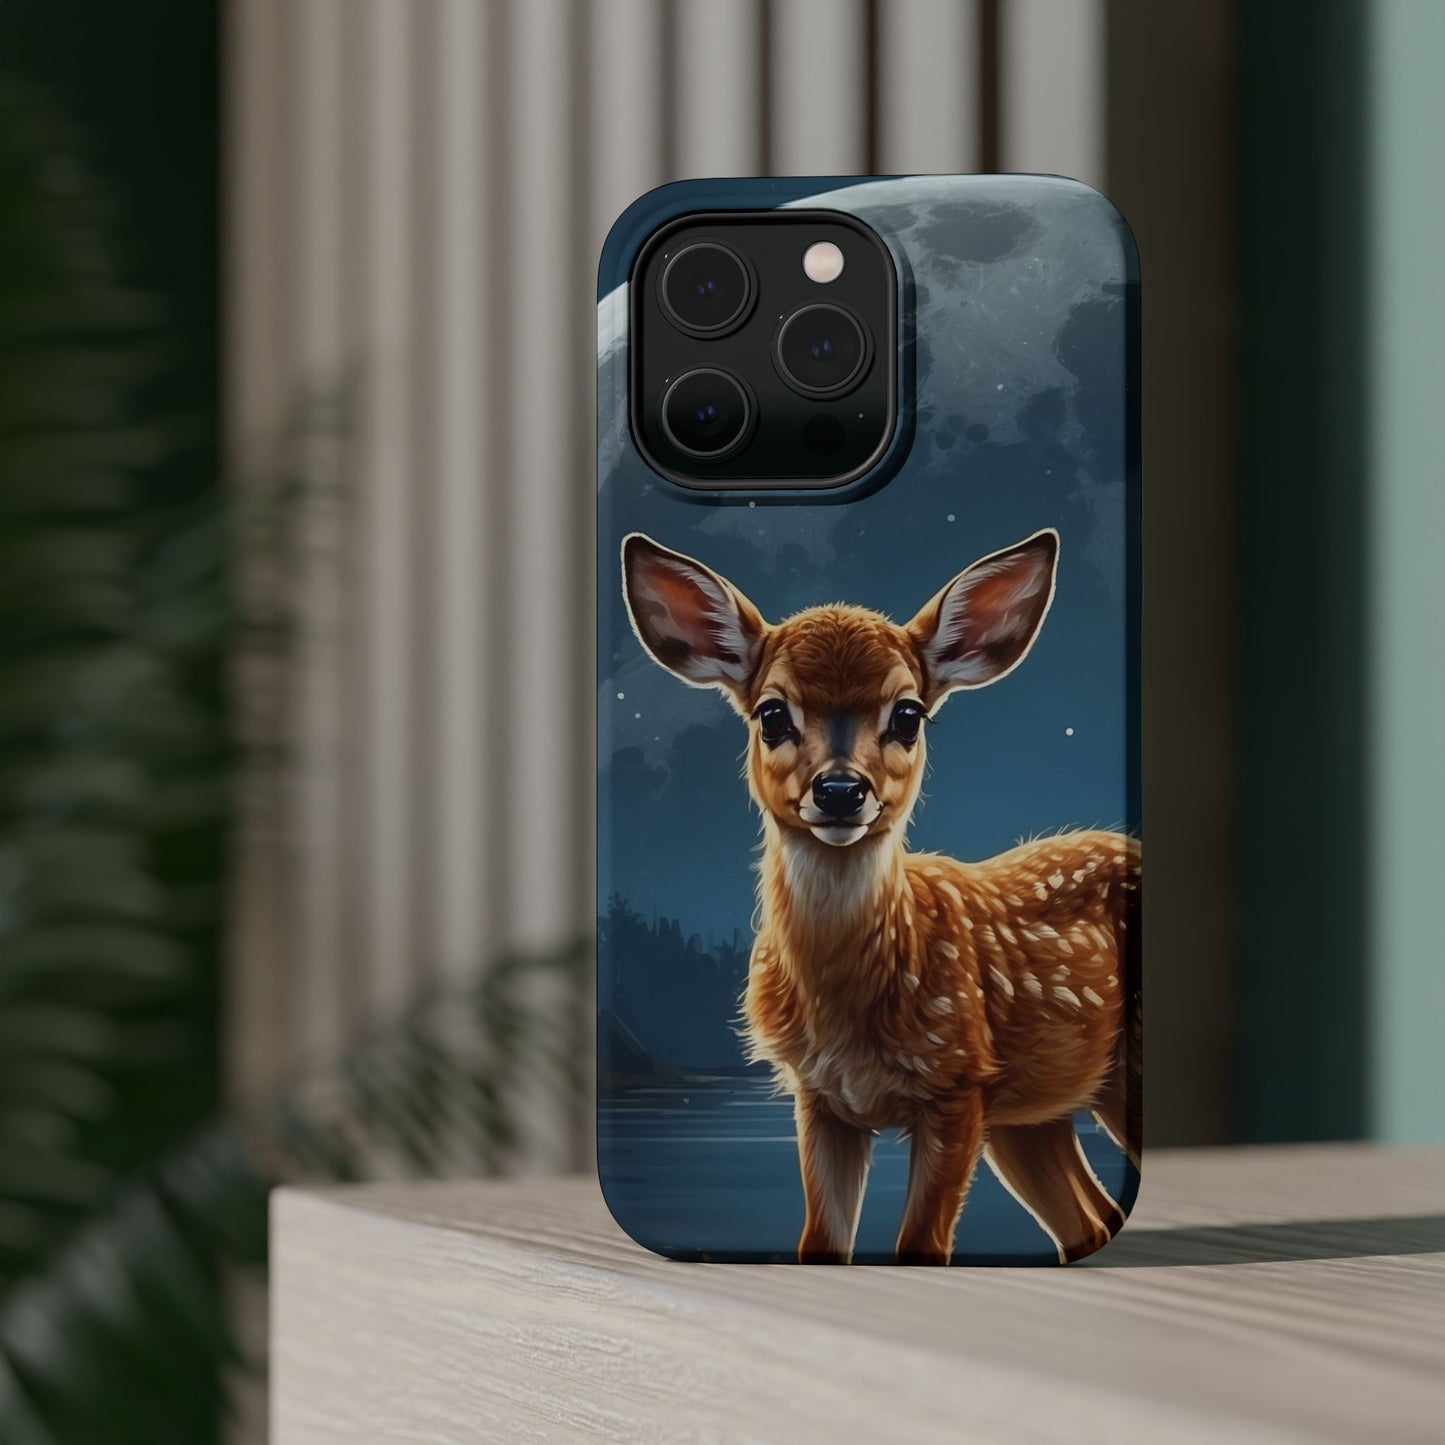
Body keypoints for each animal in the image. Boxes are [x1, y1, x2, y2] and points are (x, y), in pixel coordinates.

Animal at [620, 527, 1140, 1265]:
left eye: (908, 714)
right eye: (771, 713)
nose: (840, 790)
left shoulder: (956, 1083)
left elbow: (920, 1244)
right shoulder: (820, 1098)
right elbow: (819, 1242)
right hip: (1031, 1113)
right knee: (1091, 1220)